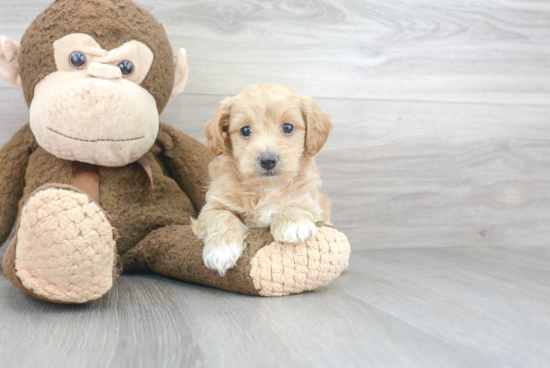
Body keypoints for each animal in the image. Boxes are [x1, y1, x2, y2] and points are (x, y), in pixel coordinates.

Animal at [192, 82, 334, 274]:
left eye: (287, 127)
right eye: (245, 130)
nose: (267, 160)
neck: (266, 187)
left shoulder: (311, 204)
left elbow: (294, 206)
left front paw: (294, 224)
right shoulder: (210, 208)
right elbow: (222, 215)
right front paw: (221, 250)